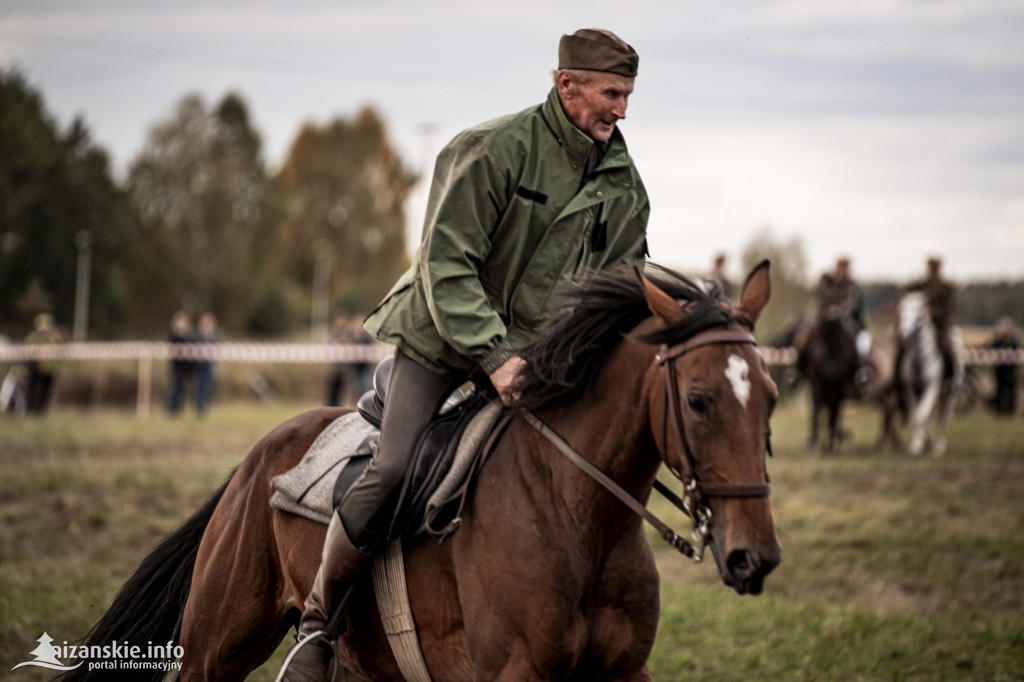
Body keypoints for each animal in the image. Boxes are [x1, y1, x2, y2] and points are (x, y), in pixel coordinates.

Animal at [61, 261, 782, 679]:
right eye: (699, 400)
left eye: (772, 396)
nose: (755, 556)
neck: (580, 516)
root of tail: (254, 461)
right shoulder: (515, 673)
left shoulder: (623, 672)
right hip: (218, 646)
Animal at [794, 313, 860, 450]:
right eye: (822, 345)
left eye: (840, 345)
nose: (832, 369)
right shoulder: (816, 385)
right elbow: (816, 413)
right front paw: (815, 443)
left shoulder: (840, 388)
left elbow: (833, 416)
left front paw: (831, 445)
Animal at [897, 292, 958, 456]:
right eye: (901, 310)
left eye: (919, 312)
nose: (903, 335)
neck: (920, 360)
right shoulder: (910, 390)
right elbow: (916, 416)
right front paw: (917, 444)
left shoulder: (932, 388)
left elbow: (922, 415)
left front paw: (919, 445)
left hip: (950, 395)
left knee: (944, 418)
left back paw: (938, 448)